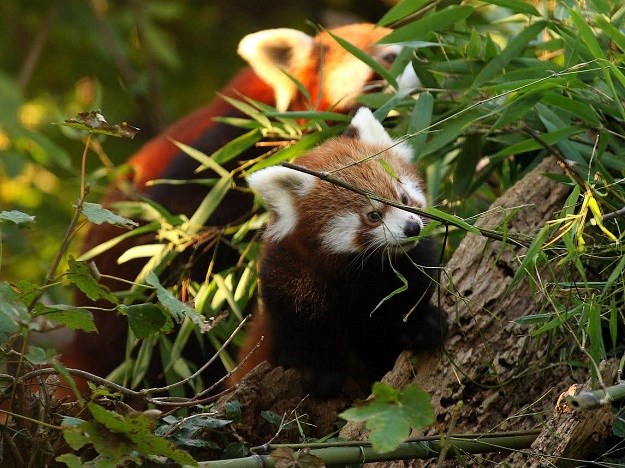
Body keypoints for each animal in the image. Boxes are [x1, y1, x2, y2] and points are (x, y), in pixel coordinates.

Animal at [233, 108, 444, 396]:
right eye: (373, 215)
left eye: (403, 199)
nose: (412, 228)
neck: (361, 272)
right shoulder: (290, 280)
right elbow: (306, 330)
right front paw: (322, 373)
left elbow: (411, 294)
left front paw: (421, 326)